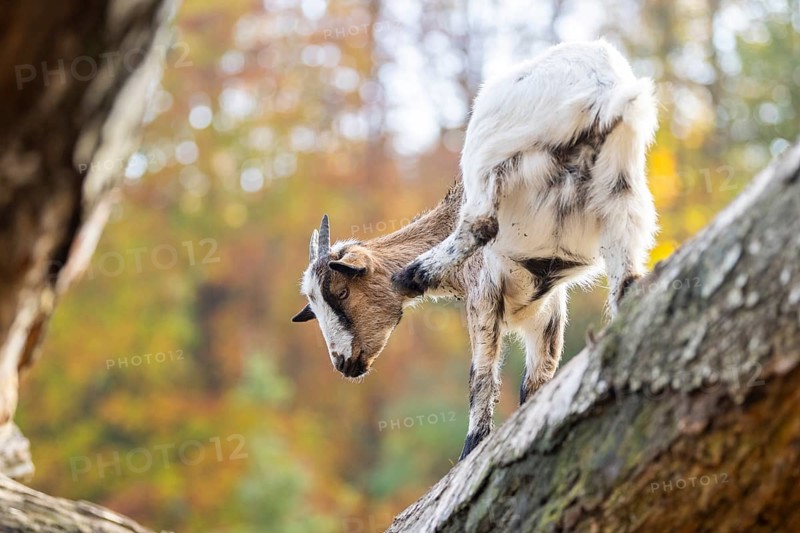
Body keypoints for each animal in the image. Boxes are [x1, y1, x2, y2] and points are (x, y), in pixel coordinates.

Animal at [292, 40, 658, 460]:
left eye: (340, 291)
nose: (343, 364)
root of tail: (601, 85)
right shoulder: (547, 310)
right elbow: (537, 379)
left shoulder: (484, 293)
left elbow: (480, 374)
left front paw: (472, 445)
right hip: (622, 186)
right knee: (627, 282)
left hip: (490, 148)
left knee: (482, 222)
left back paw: (414, 274)